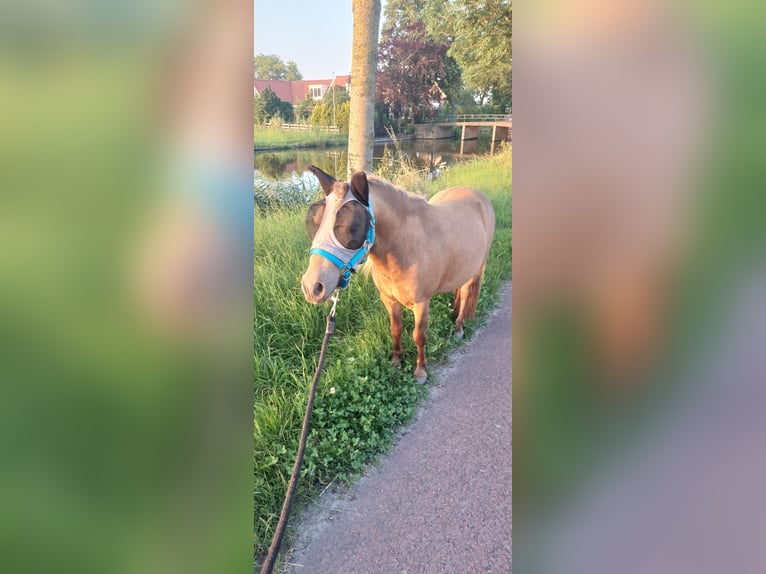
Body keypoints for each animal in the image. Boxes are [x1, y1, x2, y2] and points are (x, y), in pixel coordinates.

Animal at [302, 165, 498, 382]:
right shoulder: (389, 300)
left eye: (352, 226)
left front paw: (420, 371)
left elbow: (419, 336)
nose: (312, 286)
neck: (404, 249)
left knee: (465, 295)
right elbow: (396, 330)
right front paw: (396, 362)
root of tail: (477, 195)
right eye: (315, 223)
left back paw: (458, 327)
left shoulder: (421, 303)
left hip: (476, 269)